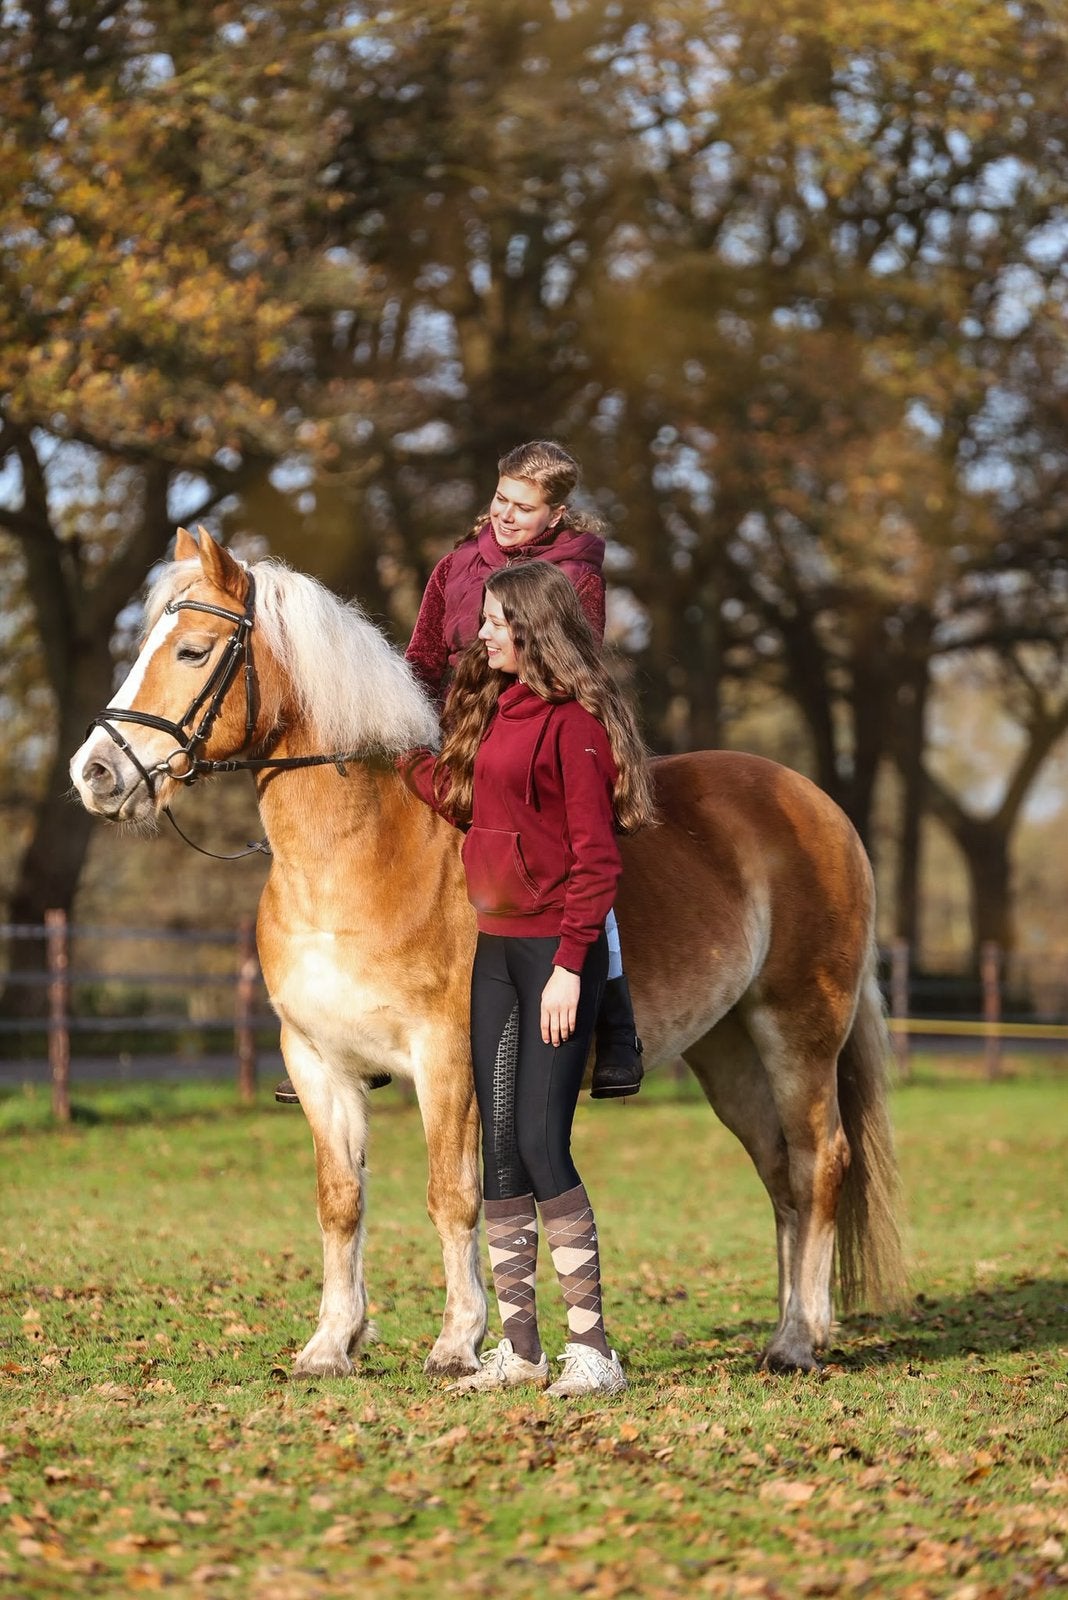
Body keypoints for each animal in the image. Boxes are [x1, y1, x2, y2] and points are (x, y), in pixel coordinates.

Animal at [69, 525, 903, 1377]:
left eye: (193, 652)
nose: (94, 773)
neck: (357, 854)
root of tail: (816, 804)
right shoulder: (318, 1062)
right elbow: (341, 1201)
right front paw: (331, 1343)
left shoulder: (446, 1059)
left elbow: (454, 1194)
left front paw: (458, 1340)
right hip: (728, 1050)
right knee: (780, 1173)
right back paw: (791, 1329)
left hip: (798, 1032)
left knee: (820, 1161)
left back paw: (800, 1337)